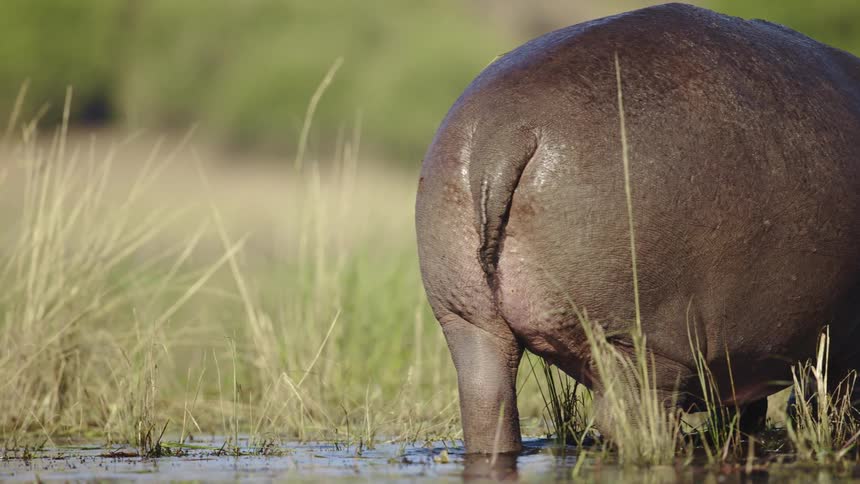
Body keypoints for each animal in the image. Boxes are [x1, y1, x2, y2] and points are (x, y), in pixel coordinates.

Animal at [415, 3, 860, 454]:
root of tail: (506, 129)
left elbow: (754, 408)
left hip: (467, 319)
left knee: (488, 401)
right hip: (639, 342)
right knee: (633, 419)